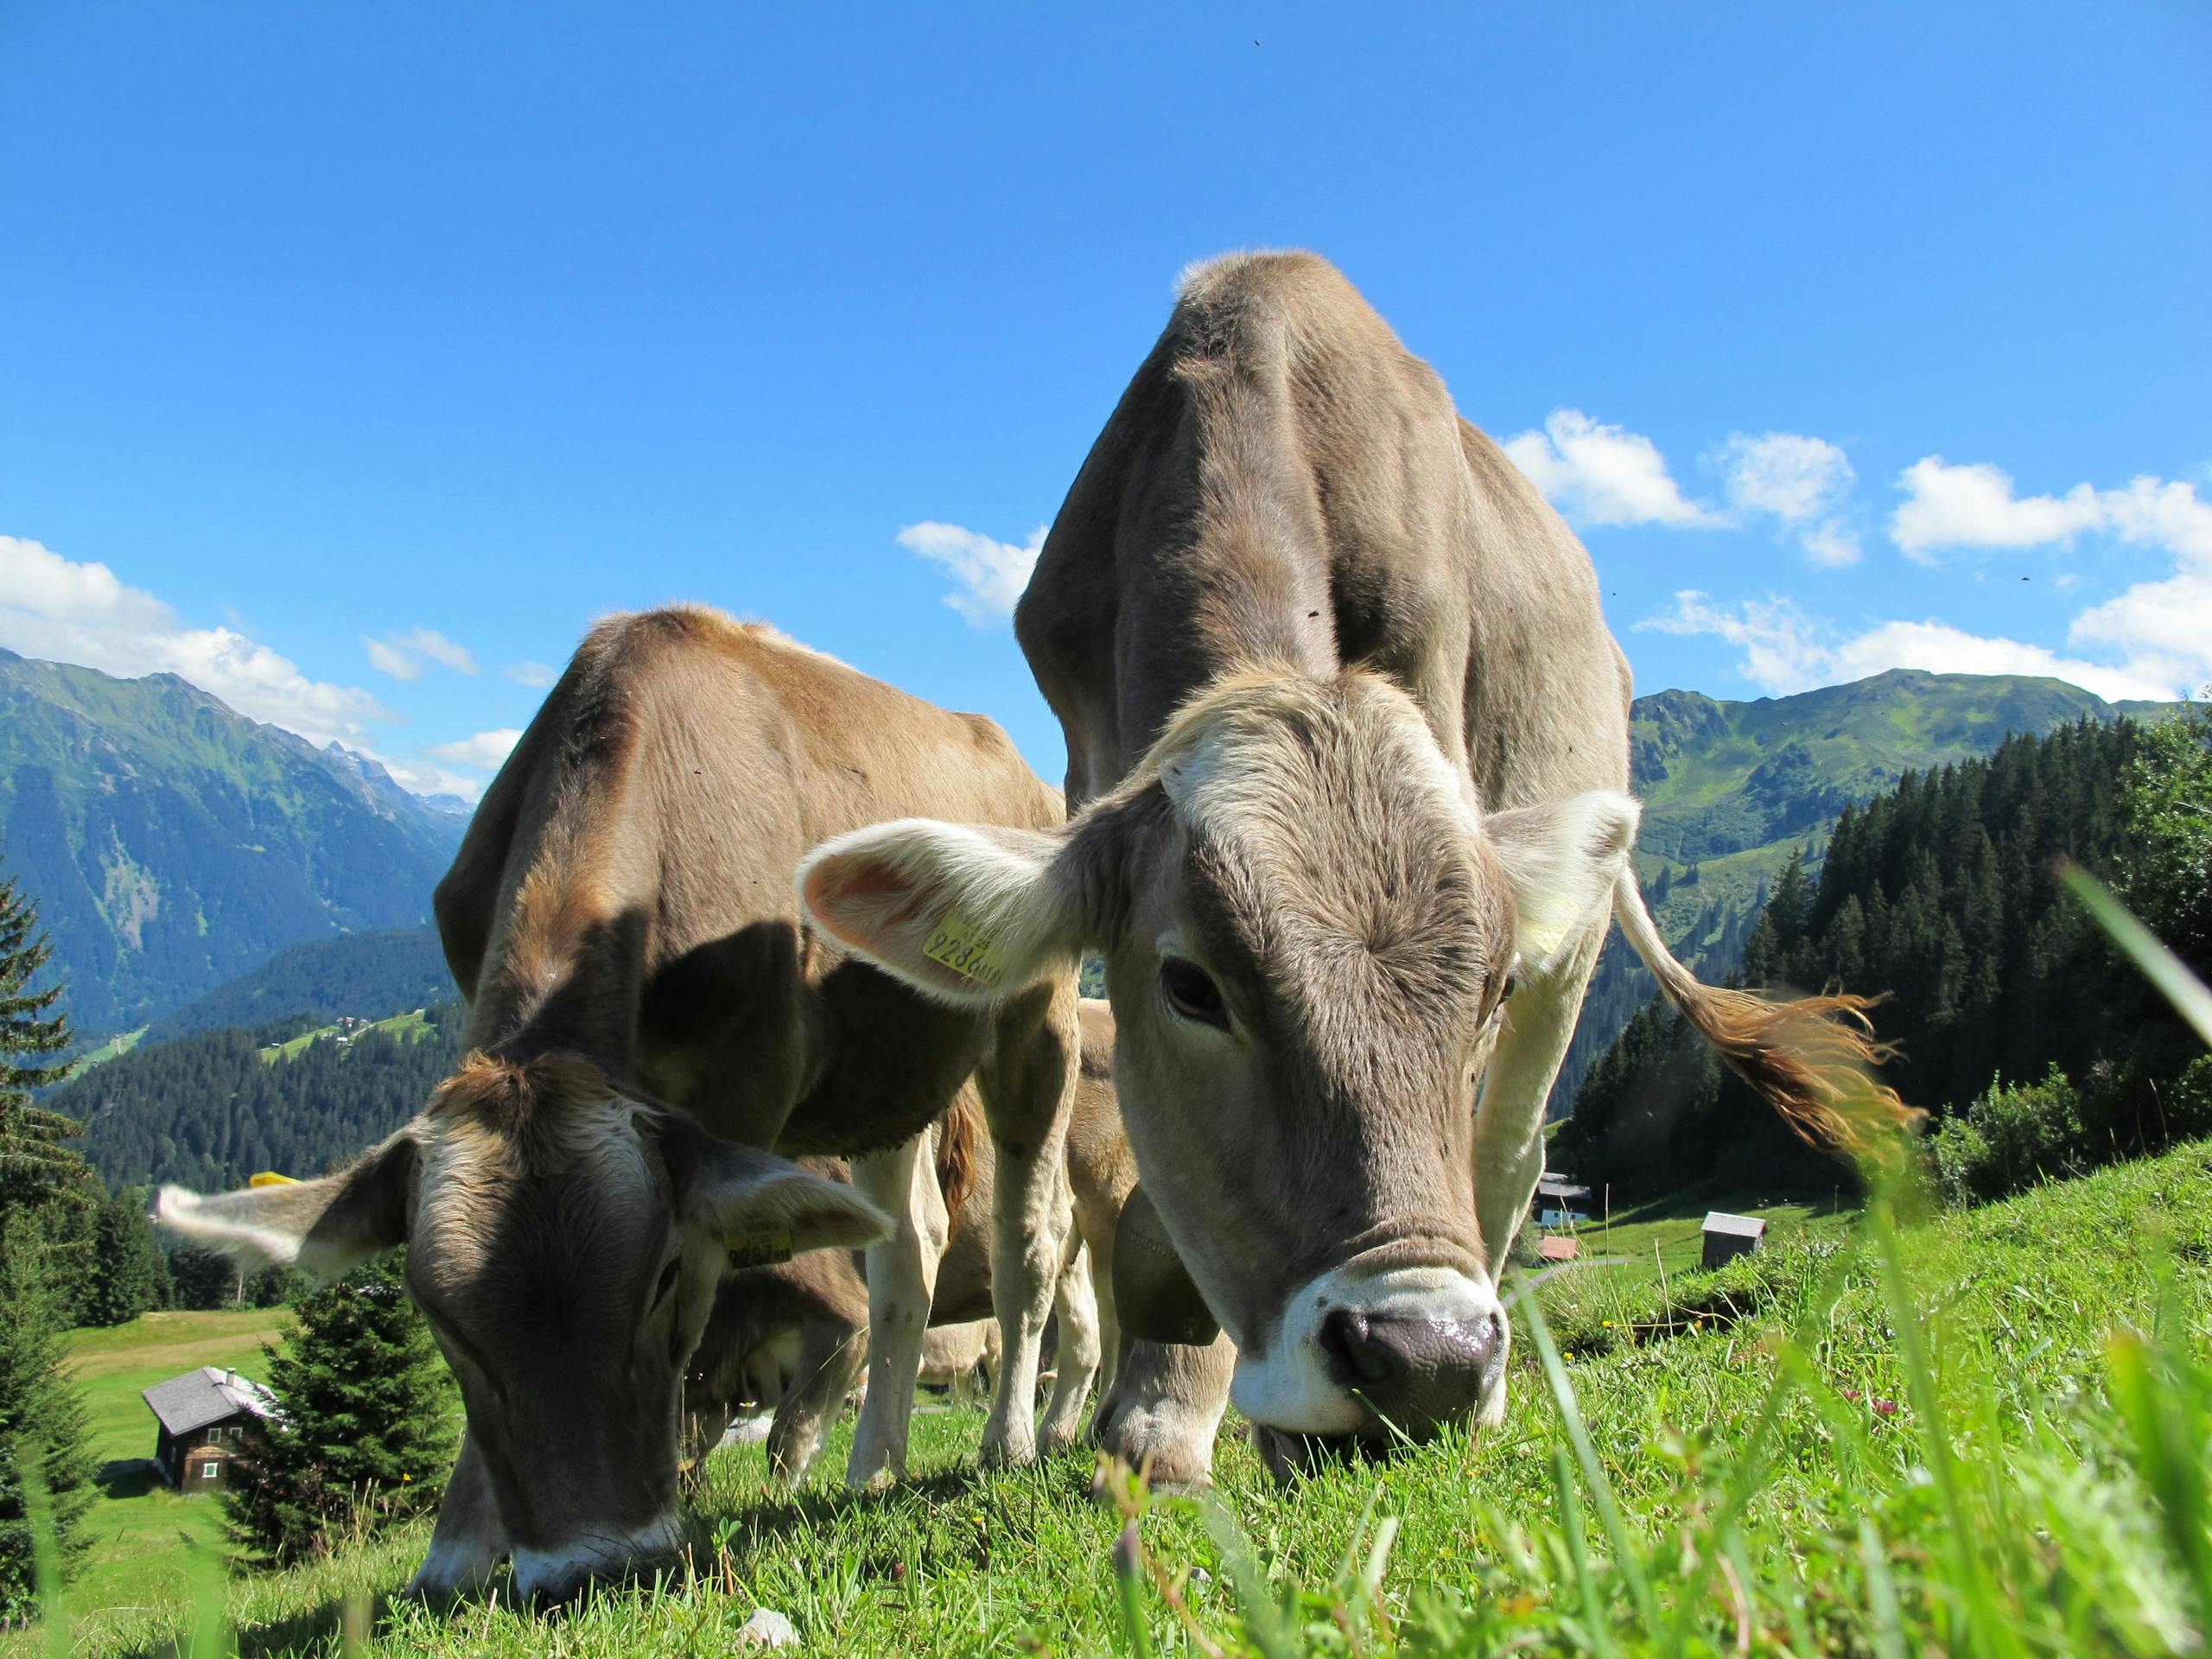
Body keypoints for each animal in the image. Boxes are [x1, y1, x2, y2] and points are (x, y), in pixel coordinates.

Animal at [158, 610, 1079, 1601]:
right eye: (438, 1318)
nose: (589, 1568)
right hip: (883, 1082)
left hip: (1038, 1016)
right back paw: (874, 1465)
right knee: (907, 1252)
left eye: (664, 1279)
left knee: (1029, 1245)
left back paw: (1009, 1443)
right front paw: (456, 1551)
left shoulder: (743, 1091)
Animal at [804, 256, 1910, 1478]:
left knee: (1510, 1154)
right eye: (1189, 986)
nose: (1426, 1360)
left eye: (1488, 987)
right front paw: (1157, 1416)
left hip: (1572, 950)